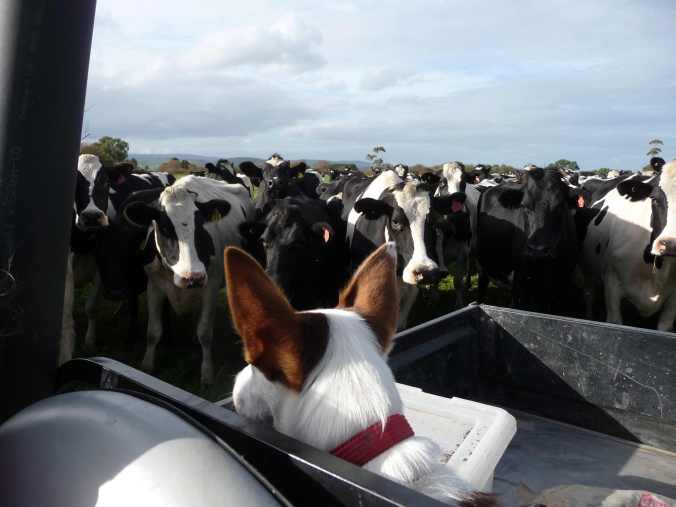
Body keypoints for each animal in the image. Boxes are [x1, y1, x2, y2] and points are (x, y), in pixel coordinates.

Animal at [60, 156, 173, 365]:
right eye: (74, 182)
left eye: (105, 181)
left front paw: (90, 340)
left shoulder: (101, 268)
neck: (84, 242)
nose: (92, 216)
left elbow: (91, 307)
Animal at [122, 175, 254, 386]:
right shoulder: (154, 286)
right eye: (165, 227)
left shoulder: (211, 286)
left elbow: (205, 333)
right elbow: (153, 331)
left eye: (201, 226)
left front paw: (207, 373)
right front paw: (147, 366)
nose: (192, 276)